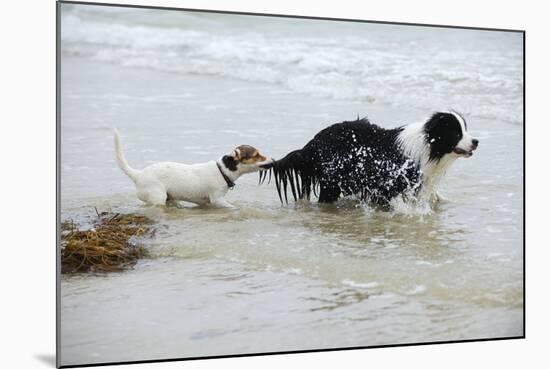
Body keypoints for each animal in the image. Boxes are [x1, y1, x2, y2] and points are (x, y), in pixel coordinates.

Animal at [260, 109, 480, 208]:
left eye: (465, 129)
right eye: (456, 133)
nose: (476, 141)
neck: (428, 144)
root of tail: (313, 142)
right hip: (332, 180)